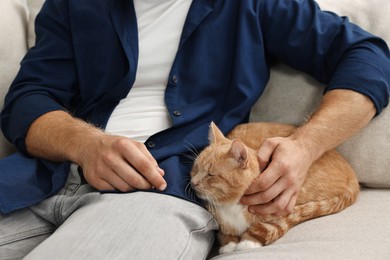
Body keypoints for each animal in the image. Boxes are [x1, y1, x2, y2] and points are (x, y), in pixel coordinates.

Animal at [190, 122, 358, 254]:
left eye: (211, 174)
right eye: (196, 168)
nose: (193, 182)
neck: (233, 205)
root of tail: (353, 177)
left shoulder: (287, 207)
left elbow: (268, 227)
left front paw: (248, 241)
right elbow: (224, 233)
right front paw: (229, 244)